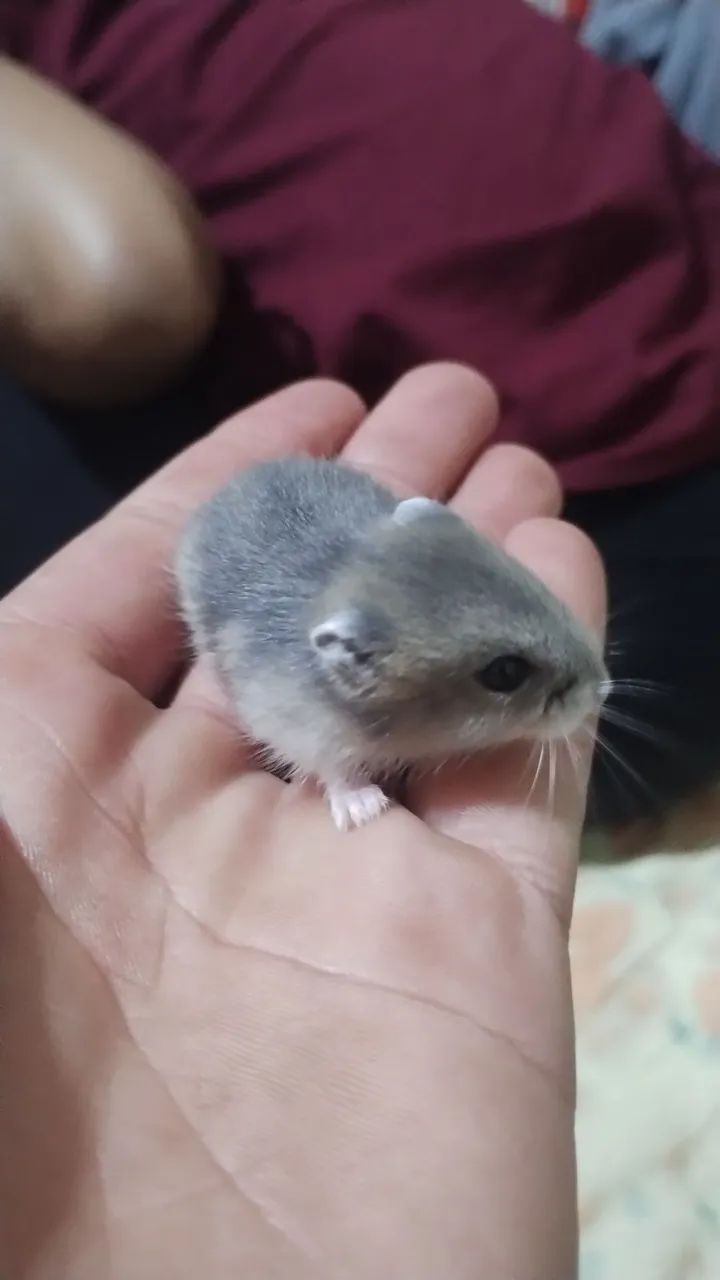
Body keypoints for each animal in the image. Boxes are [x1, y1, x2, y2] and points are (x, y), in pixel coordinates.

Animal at [176, 456, 607, 830]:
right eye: (505, 673)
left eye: (536, 584)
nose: (603, 689)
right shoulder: (304, 732)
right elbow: (336, 771)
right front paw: (365, 810)